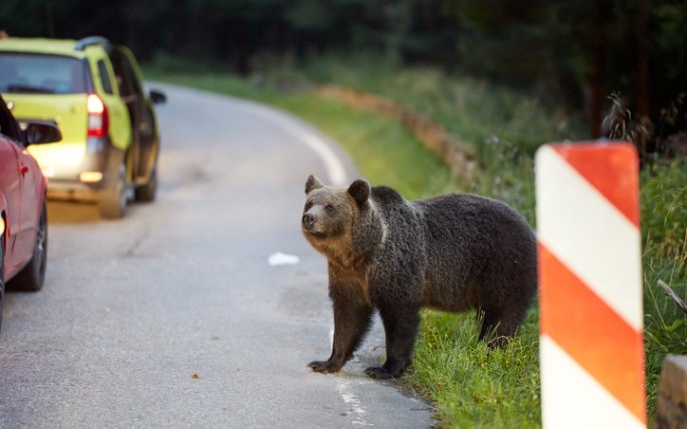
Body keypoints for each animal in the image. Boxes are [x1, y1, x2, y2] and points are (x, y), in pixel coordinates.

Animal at [300, 174, 536, 378]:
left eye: (330, 207)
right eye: (310, 203)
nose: (309, 218)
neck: (361, 252)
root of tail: (530, 228)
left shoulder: (397, 269)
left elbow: (400, 318)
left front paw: (385, 368)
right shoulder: (347, 276)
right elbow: (348, 318)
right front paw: (326, 362)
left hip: (504, 267)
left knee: (501, 316)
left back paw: (489, 350)